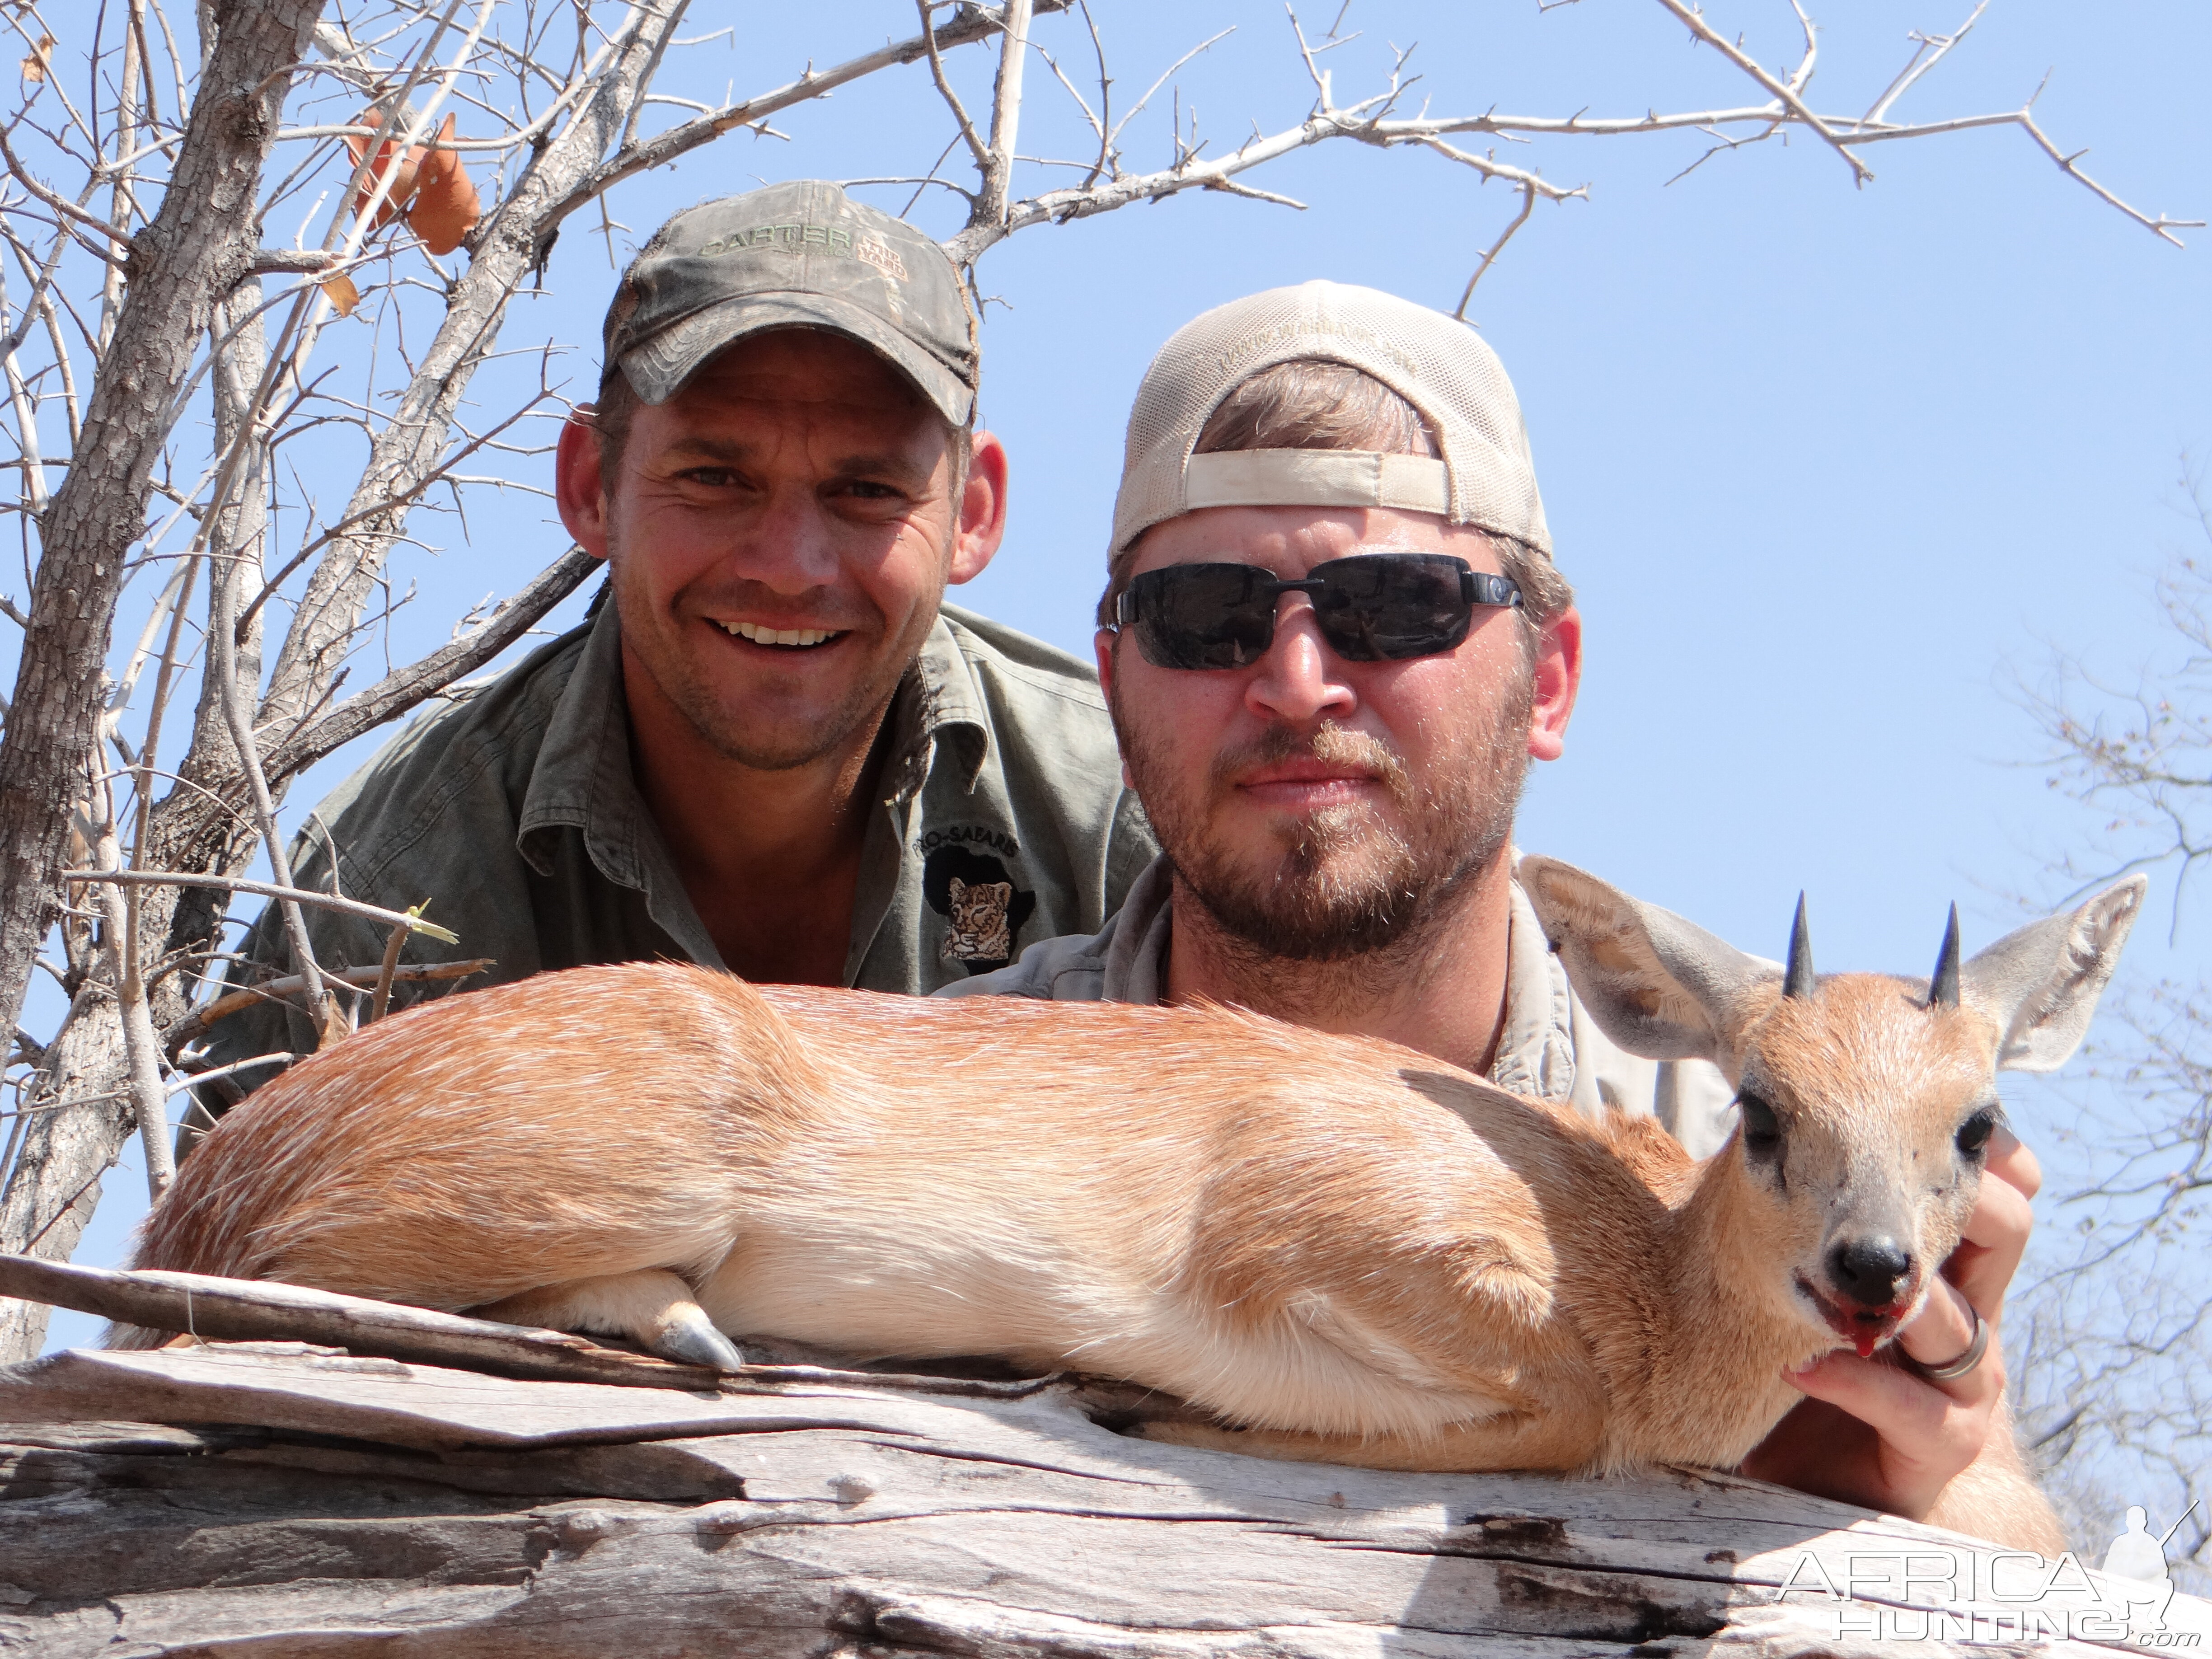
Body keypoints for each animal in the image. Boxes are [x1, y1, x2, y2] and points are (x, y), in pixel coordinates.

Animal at [125, 862, 2141, 1557]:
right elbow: (1550, 1408)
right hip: (607, 1177)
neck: (1626, 1254)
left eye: (1976, 1123)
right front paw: (1148, 1398)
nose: (1873, 1277)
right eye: (1760, 1104)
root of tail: (224, 1163)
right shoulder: (1297, 1226)